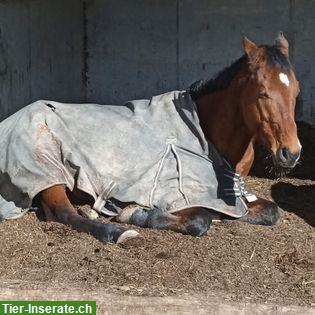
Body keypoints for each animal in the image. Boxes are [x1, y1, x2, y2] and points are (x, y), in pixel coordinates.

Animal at [0, 32, 302, 244]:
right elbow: (201, 219)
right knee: (64, 213)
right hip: (47, 173)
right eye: (263, 91)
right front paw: (134, 213)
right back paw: (116, 232)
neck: (206, 134)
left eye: (296, 91)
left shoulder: (234, 197)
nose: (291, 152)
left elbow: (271, 211)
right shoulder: (176, 195)